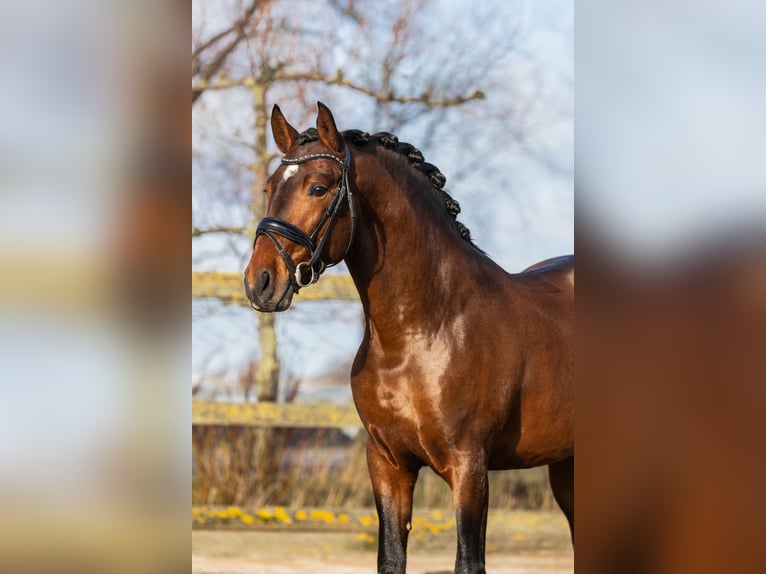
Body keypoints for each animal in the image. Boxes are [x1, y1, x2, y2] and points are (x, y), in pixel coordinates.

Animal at [243, 103, 572, 574]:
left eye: (318, 187)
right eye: (270, 186)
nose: (260, 282)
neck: (425, 330)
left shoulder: (469, 467)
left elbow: (468, 561)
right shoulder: (387, 464)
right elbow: (391, 558)